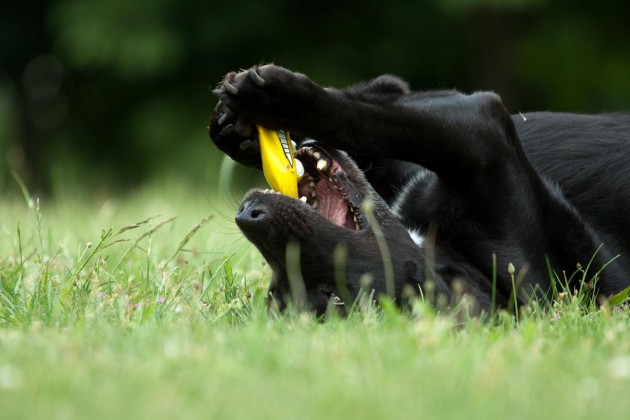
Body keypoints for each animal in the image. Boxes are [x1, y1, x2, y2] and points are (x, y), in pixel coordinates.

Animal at [210, 63, 628, 316]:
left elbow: (368, 120)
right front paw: (241, 132)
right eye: (278, 290)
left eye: (333, 293)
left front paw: (271, 102)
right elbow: (381, 108)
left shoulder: (482, 138)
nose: (251, 215)